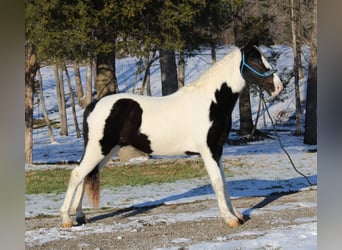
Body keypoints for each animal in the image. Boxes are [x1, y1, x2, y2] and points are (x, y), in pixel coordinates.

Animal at [60, 44, 282, 229]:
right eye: (256, 60)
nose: (278, 87)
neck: (211, 102)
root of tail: (93, 105)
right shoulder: (208, 151)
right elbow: (218, 182)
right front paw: (229, 219)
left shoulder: (217, 150)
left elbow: (224, 182)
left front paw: (236, 214)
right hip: (98, 149)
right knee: (77, 174)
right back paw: (66, 219)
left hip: (105, 151)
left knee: (85, 176)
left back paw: (81, 217)